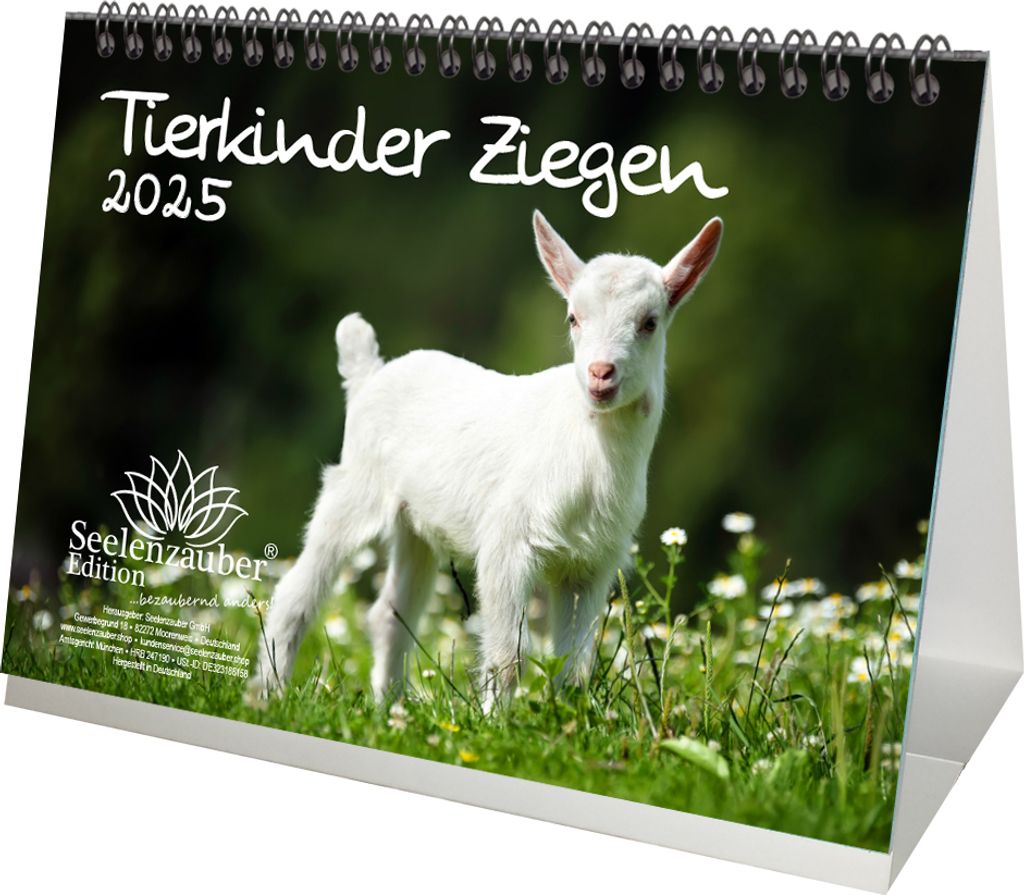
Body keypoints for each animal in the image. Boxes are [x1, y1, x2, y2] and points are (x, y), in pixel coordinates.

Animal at [249, 211, 723, 710]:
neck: (589, 451)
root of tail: (369, 374)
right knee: (297, 592)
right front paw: (497, 718)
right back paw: (269, 693)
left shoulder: (593, 562)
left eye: (649, 323)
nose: (600, 374)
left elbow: (575, 663)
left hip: (414, 522)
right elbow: (508, 653)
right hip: (356, 485)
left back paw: (390, 706)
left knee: (391, 611)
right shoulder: (507, 541)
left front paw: (567, 716)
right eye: (573, 318)